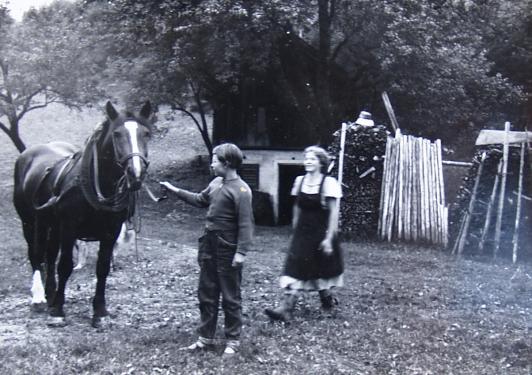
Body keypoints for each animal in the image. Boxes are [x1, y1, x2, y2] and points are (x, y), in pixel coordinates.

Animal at [13, 101, 154, 328]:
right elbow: (65, 266)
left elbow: (102, 268)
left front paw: (100, 311)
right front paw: (58, 311)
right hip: (30, 222)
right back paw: (39, 296)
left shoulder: (110, 232)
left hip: (52, 225)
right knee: (36, 255)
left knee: (49, 255)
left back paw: (50, 292)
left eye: (146, 133)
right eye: (116, 134)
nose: (136, 173)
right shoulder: (69, 228)